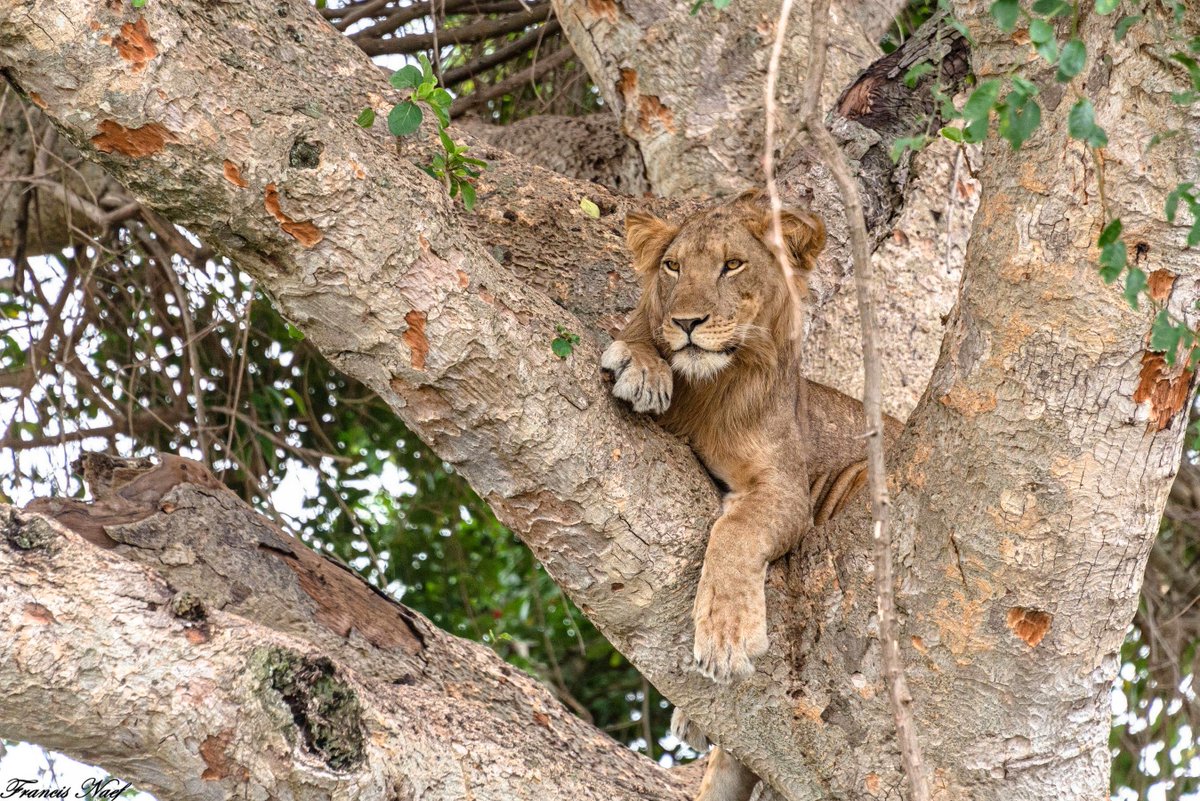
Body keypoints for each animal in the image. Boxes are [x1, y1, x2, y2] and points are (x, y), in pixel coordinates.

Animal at [601, 191, 896, 801]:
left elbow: (735, 533)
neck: (708, 389)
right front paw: (641, 363)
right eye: (673, 267)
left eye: (732, 265)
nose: (687, 322)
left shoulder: (784, 488)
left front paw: (727, 634)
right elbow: (640, 326)